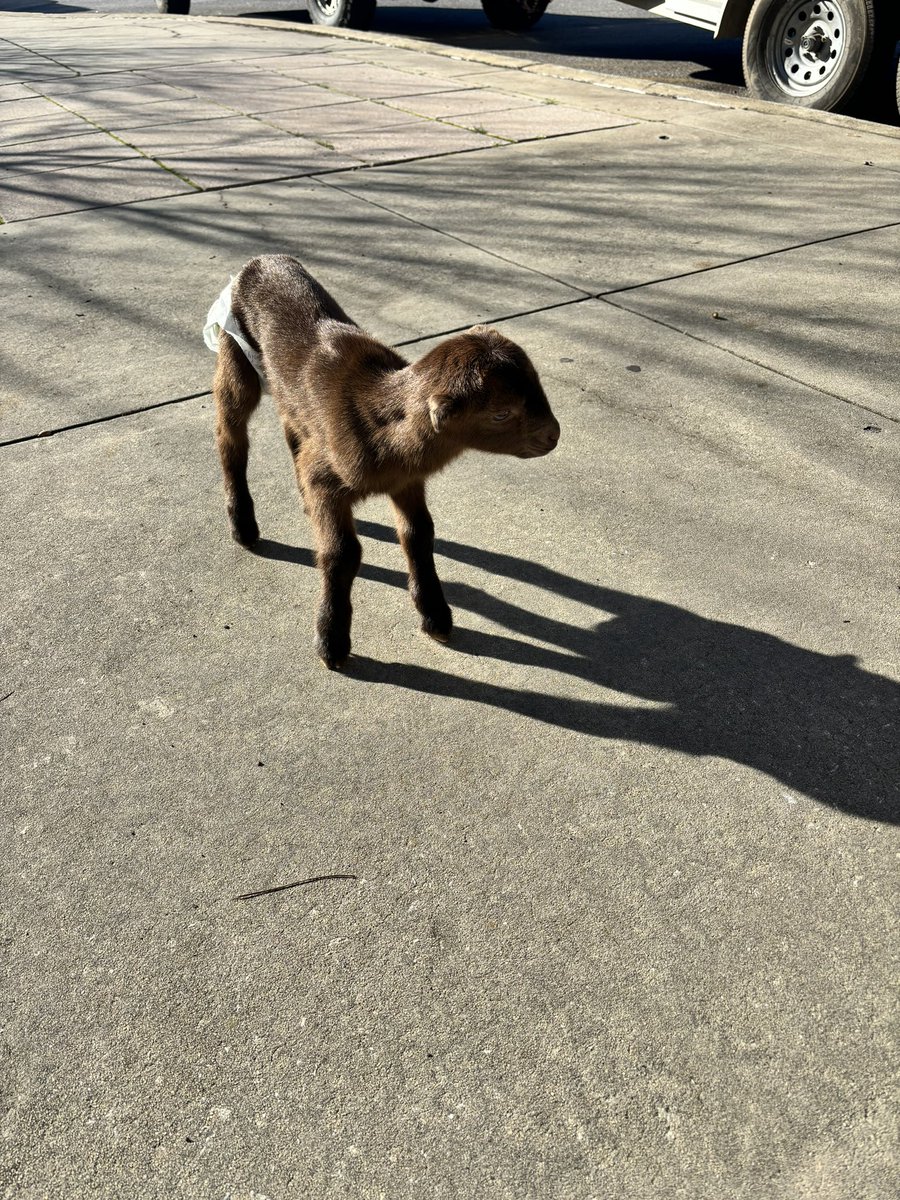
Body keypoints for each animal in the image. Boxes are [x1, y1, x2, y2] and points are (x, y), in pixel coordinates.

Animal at [209, 254, 560, 670]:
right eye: (501, 413)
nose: (554, 434)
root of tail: (261, 260)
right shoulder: (328, 478)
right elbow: (343, 553)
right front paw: (331, 642)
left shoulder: (405, 481)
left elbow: (418, 534)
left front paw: (435, 615)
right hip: (235, 357)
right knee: (231, 437)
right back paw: (243, 526)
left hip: (287, 398)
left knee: (291, 430)